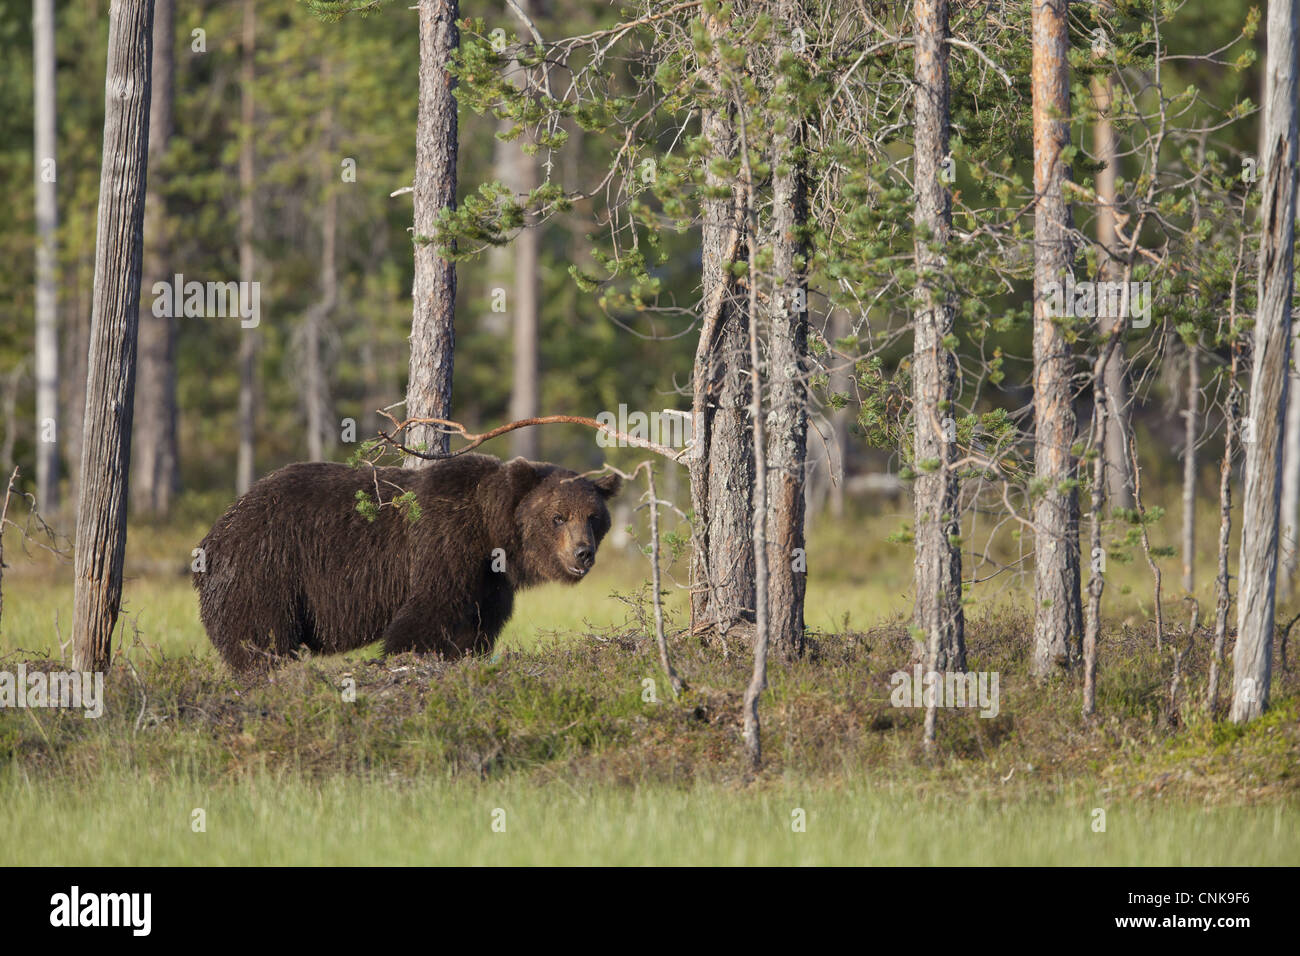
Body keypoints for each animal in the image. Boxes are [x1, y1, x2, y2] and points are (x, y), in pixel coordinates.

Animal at [189, 455, 621, 671]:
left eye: (593, 516)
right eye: (558, 517)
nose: (583, 552)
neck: (489, 534)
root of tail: (216, 530)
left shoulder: (487, 581)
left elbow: (475, 626)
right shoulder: (443, 545)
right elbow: (426, 616)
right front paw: (405, 655)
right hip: (267, 566)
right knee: (259, 634)